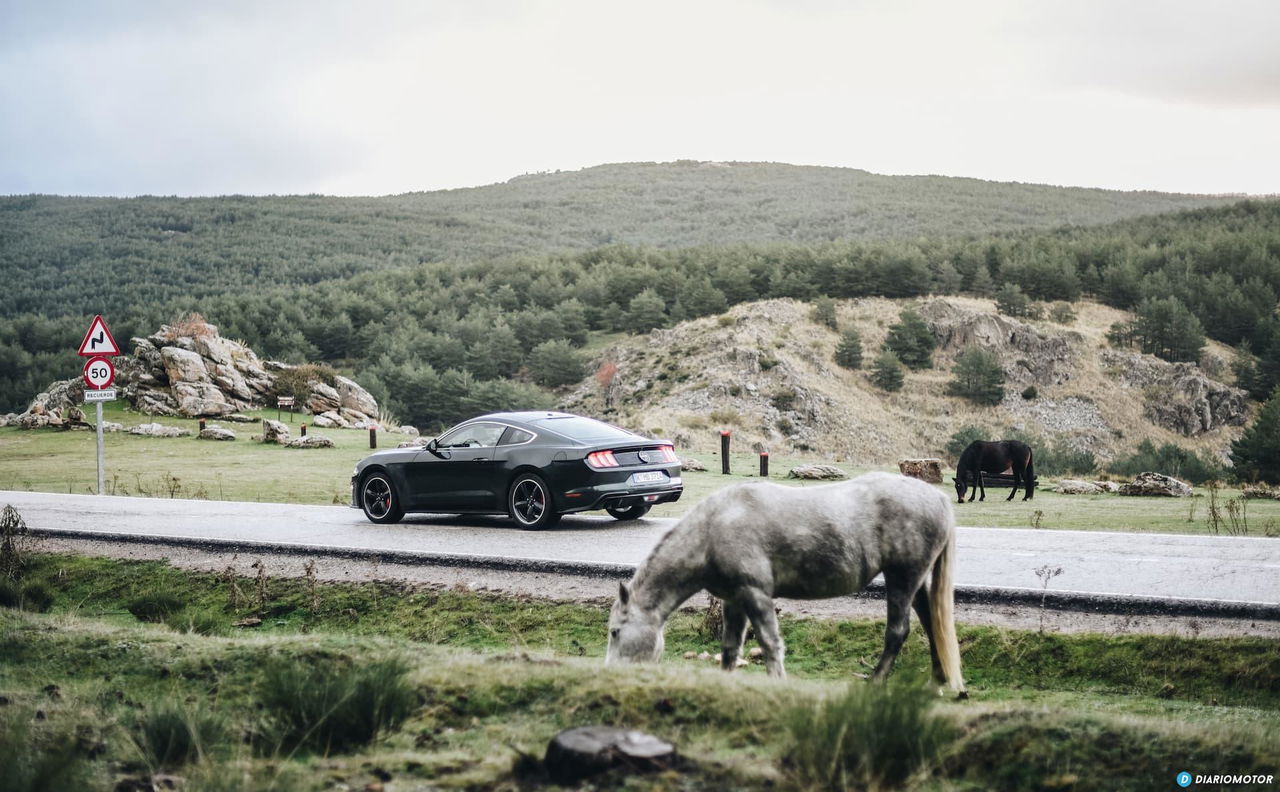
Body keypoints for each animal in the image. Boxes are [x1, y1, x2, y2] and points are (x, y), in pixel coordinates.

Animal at [604, 470, 962, 696]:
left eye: (615, 632)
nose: (612, 674)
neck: (714, 528)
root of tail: (937, 498)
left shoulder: (755, 595)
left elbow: (769, 643)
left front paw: (777, 683)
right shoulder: (735, 599)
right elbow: (730, 648)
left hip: (902, 578)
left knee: (898, 632)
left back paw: (875, 682)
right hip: (912, 582)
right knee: (932, 624)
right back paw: (938, 681)